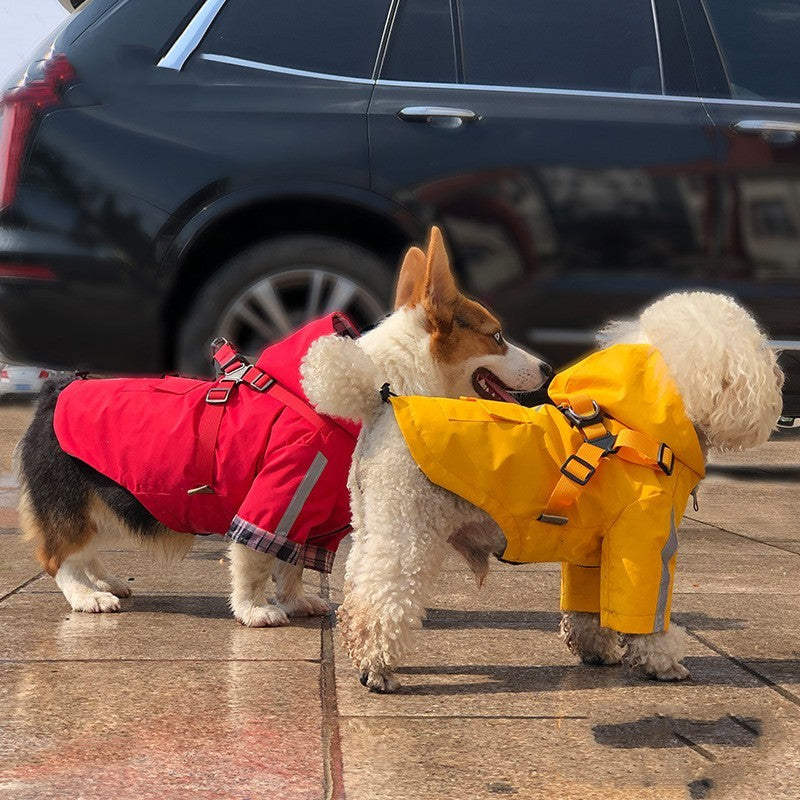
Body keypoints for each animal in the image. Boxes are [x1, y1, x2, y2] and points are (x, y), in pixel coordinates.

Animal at [15, 225, 552, 624]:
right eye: (497, 337)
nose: (549, 368)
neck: (375, 384)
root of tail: (55, 388)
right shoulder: (274, 499)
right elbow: (254, 561)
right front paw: (256, 611)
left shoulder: (313, 519)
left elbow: (292, 566)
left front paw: (297, 602)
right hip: (71, 503)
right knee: (57, 557)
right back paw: (88, 597)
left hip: (107, 504)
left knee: (83, 551)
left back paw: (105, 581)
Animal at [304, 290, 784, 692]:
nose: (780, 378)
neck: (640, 426)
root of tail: (381, 403)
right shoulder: (642, 540)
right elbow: (645, 611)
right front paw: (662, 662)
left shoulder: (595, 546)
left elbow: (588, 606)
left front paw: (597, 651)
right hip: (408, 525)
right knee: (381, 601)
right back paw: (377, 666)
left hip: (375, 521)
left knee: (357, 591)